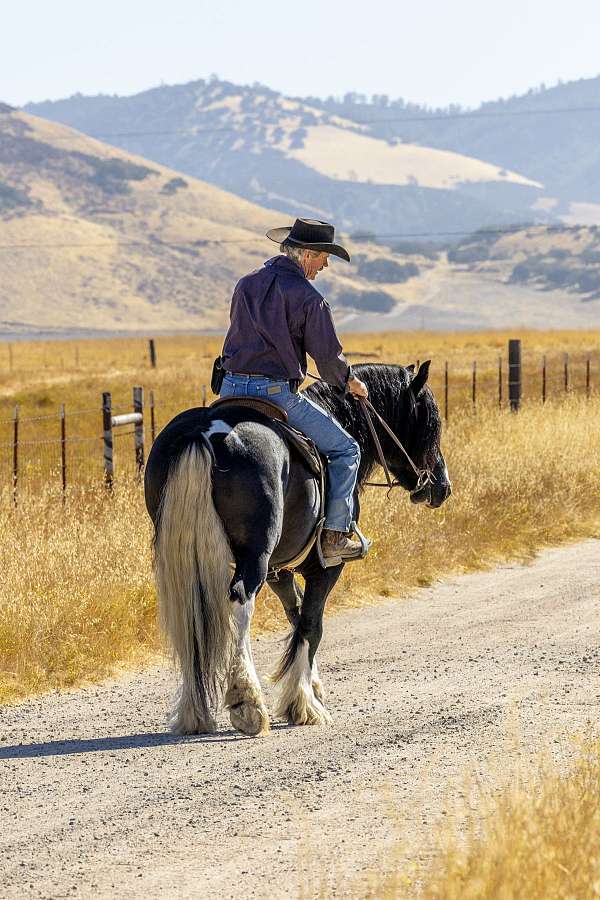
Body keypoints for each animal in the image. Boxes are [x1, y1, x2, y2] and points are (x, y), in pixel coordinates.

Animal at [144, 362, 450, 736]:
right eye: (430, 423)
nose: (441, 487)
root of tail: (204, 433)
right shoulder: (323, 567)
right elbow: (312, 623)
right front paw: (304, 704)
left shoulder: (281, 571)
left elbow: (297, 613)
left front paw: (311, 686)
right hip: (255, 558)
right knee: (240, 605)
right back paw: (247, 703)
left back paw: (194, 712)